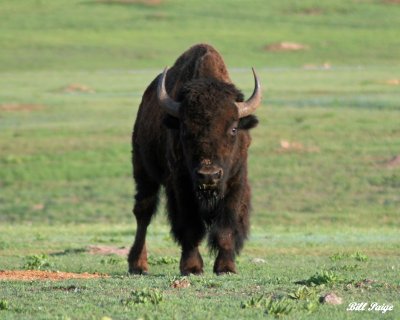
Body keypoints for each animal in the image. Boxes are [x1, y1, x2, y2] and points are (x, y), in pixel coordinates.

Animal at [126, 43, 260, 276]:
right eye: (185, 129)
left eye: (234, 129)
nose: (209, 175)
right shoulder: (182, 185)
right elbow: (190, 226)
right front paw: (192, 267)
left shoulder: (235, 181)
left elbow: (226, 228)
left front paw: (226, 267)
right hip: (144, 172)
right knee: (143, 212)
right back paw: (138, 265)